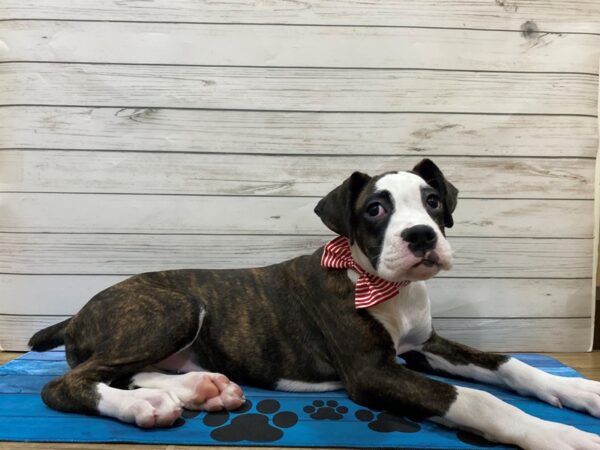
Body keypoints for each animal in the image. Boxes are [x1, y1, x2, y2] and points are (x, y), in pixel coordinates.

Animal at [31, 160, 600, 448]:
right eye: (374, 210)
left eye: (433, 201)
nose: (421, 236)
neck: (386, 285)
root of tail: (79, 314)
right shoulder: (373, 372)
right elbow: (478, 400)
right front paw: (561, 436)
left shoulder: (425, 345)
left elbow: (508, 364)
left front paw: (581, 392)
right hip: (173, 308)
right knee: (70, 382)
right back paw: (143, 406)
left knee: (130, 371)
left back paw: (201, 388)